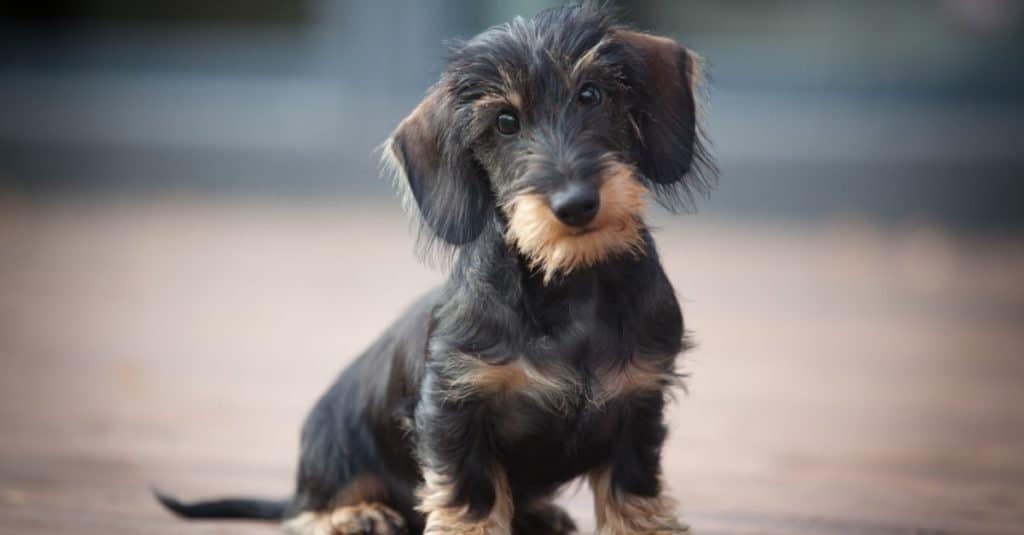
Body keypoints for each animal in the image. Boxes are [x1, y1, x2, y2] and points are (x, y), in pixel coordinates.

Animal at [155, 4, 712, 532]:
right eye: (504, 122)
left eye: (591, 95)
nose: (576, 204)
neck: (570, 287)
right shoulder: (454, 407)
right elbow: (471, 492)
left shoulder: (638, 403)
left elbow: (632, 492)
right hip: (335, 446)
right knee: (304, 508)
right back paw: (353, 515)